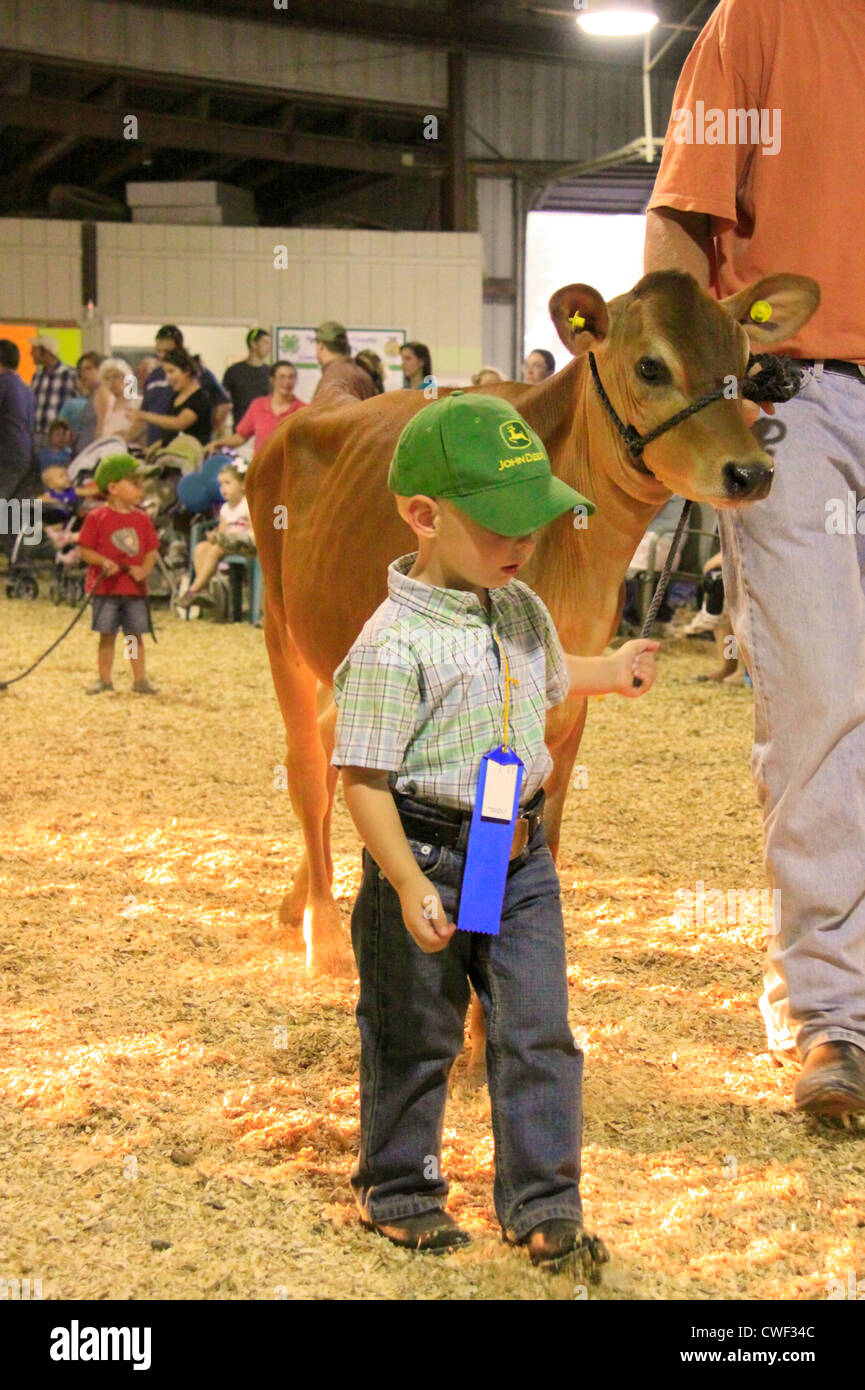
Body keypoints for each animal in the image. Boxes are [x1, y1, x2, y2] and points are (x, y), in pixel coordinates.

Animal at [246, 268, 817, 978]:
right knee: (306, 764)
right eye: (651, 366)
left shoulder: (569, 704)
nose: (751, 472)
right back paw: (320, 930)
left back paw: (295, 899)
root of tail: (310, 411)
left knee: (334, 748)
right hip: (282, 630)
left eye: (744, 364)